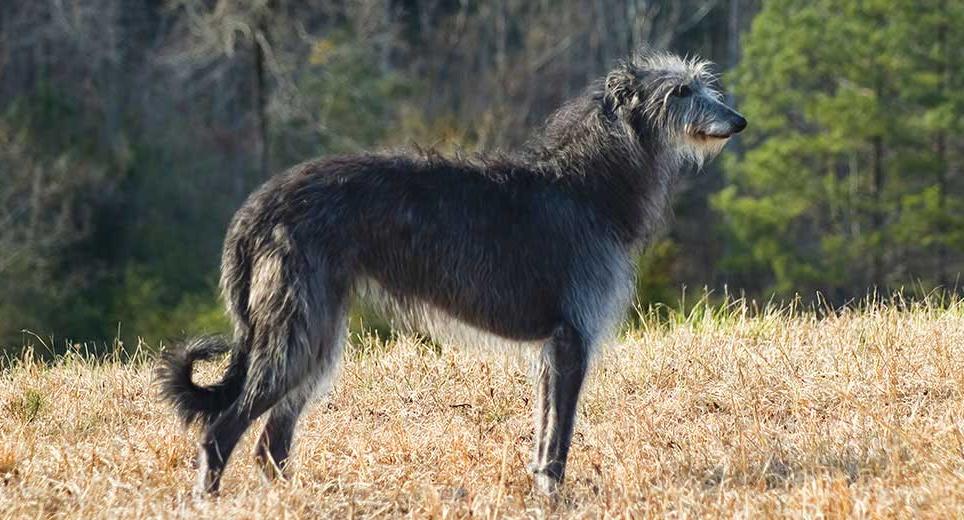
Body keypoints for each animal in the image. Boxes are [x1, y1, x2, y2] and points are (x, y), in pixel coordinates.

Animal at [156, 48, 744, 496]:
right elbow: (560, 435)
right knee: (222, 431)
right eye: (681, 91)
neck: (584, 183)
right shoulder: (573, 337)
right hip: (297, 328)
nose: (738, 121)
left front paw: (540, 491)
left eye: (705, 84)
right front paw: (555, 496)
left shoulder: (553, 347)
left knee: (270, 442)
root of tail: (260, 204)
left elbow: (544, 430)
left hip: (314, 332)